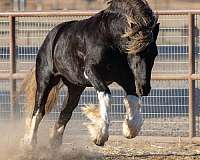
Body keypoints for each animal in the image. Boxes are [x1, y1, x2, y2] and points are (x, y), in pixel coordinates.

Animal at [21, 0, 159, 148]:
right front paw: (100, 135)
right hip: (45, 81)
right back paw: (30, 143)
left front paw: (130, 129)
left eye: (154, 54)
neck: (108, 37)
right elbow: (105, 95)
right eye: (136, 52)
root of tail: (51, 37)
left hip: (75, 88)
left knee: (65, 113)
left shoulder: (125, 78)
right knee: (39, 111)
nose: (144, 88)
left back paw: (54, 143)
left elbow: (132, 98)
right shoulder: (91, 71)